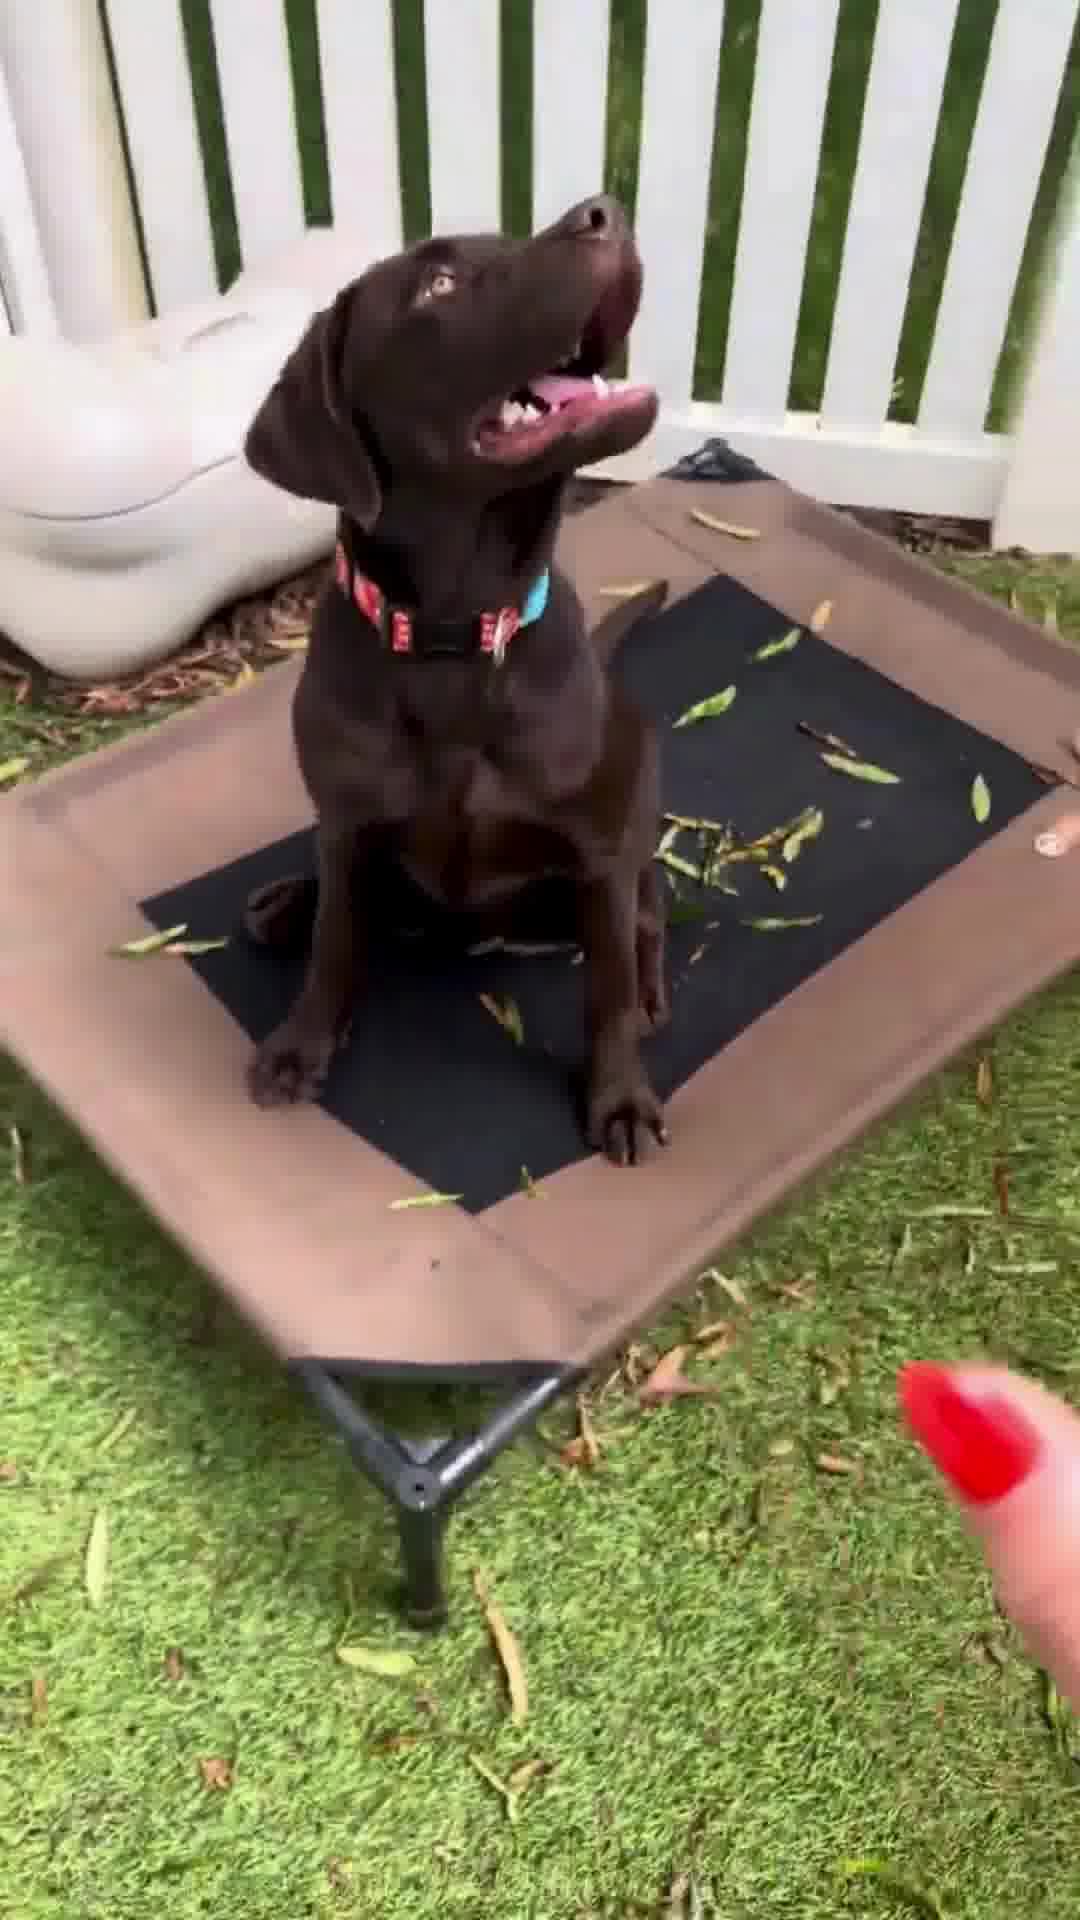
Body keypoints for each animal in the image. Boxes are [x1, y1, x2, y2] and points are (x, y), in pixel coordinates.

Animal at [242, 194, 668, 1165]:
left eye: (511, 240)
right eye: (437, 284)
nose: (606, 211)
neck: (452, 639)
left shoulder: (598, 852)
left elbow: (606, 992)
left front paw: (619, 1097)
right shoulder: (347, 822)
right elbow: (335, 945)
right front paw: (302, 1043)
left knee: (648, 916)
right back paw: (286, 905)